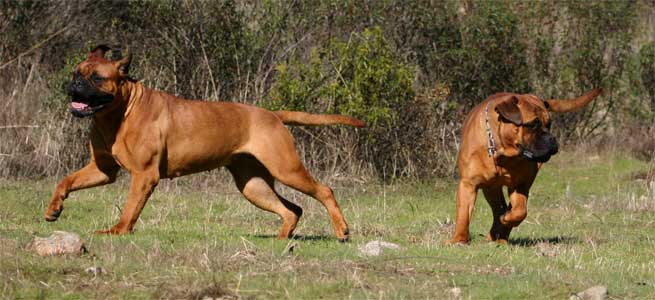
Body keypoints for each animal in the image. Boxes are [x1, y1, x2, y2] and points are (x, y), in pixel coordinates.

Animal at [44, 45, 366, 241]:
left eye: (97, 78)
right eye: (76, 73)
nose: (74, 85)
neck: (119, 113)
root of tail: (272, 114)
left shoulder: (144, 175)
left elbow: (130, 208)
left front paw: (118, 231)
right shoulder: (103, 169)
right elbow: (65, 181)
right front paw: (53, 209)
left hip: (287, 169)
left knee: (324, 191)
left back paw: (342, 230)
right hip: (253, 185)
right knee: (292, 209)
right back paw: (281, 239)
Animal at [448, 88, 604, 245]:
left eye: (549, 124)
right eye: (533, 124)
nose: (552, 139)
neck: (501, 153)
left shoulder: (521, 185)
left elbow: (520, 211)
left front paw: (507, 219)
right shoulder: (468, 184)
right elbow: (463, 214)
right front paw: (458, 240)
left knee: (504, 211)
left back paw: (501, 236)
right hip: (490, 189)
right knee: (497, 209)